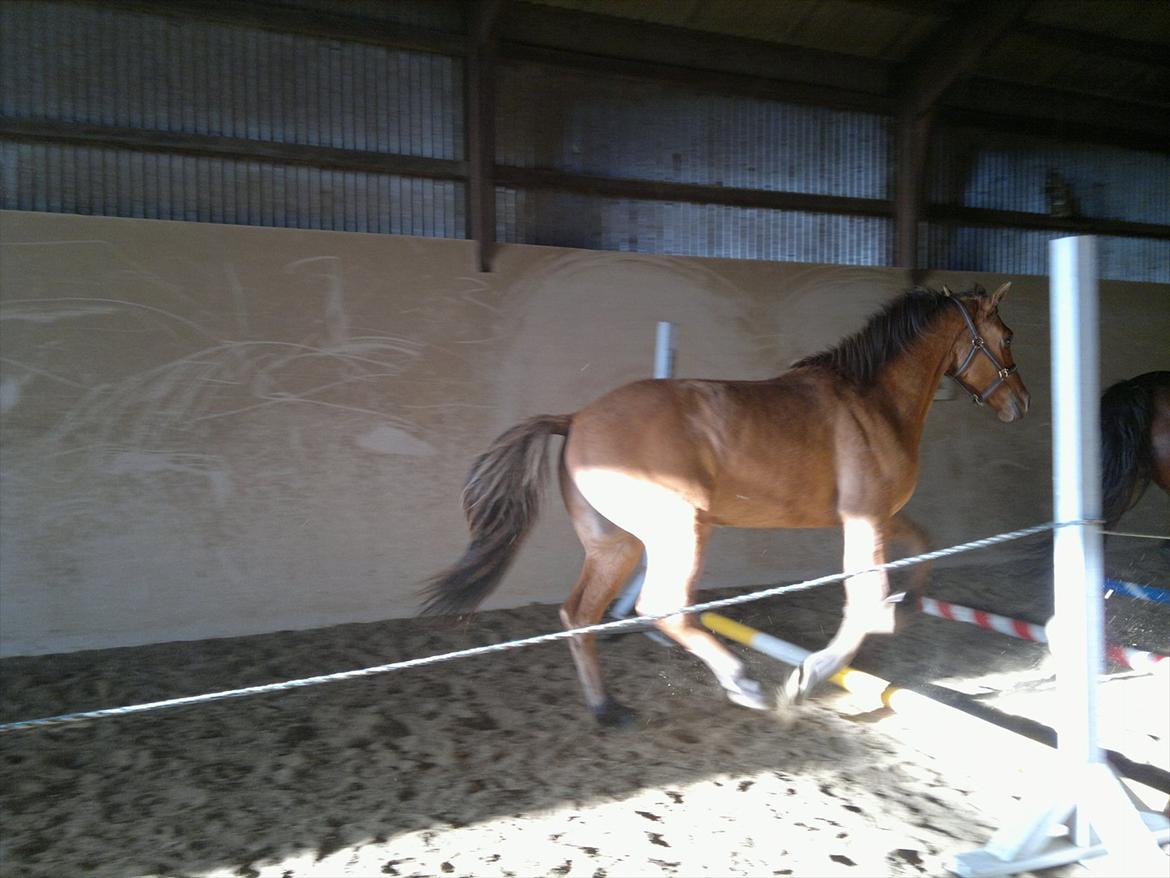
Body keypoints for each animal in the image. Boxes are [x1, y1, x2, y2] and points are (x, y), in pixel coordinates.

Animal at [422, 283, 1029, 726]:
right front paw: (809, 677)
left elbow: (922, 543)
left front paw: (913, 600)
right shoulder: (865, 520)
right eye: (1007, 335)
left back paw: (607, 709)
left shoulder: (878, 517)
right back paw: (743, 683)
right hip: (682, 530)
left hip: (617, 545)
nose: (1020, 404)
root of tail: (575, 420)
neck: (871, 401)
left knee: (580, 615)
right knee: (661, 607)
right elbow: (863, 602)